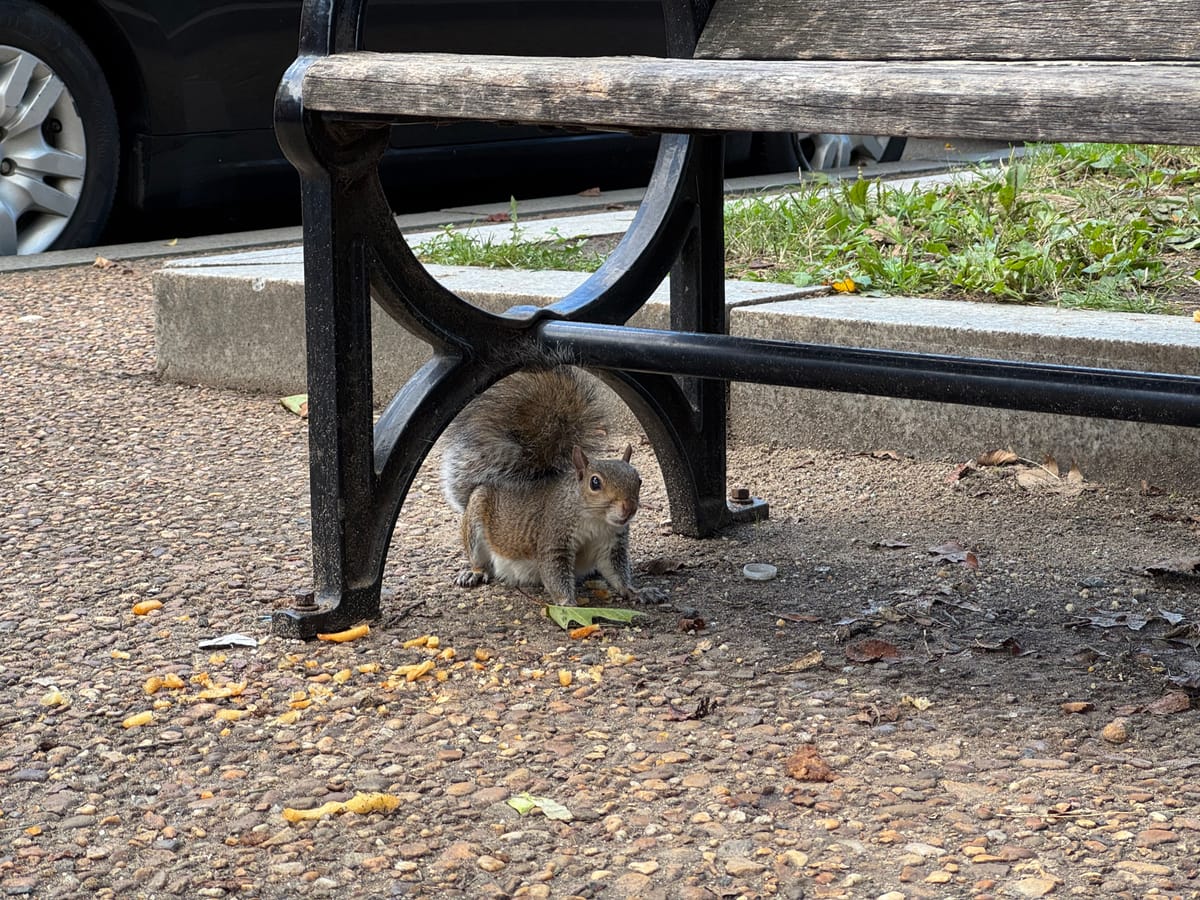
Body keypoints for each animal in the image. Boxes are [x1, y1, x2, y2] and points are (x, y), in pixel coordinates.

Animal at [440, 365, 664, 605]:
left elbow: (617, 573)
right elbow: (554, 572)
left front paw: (638, 591)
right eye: (595, 482)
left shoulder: (612, 544)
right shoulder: (554, 536)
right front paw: (569, 605)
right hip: (475, 520)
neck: (596, 521)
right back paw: (474, 572)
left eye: (638, 480)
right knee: (479, 559)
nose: (629, 508)